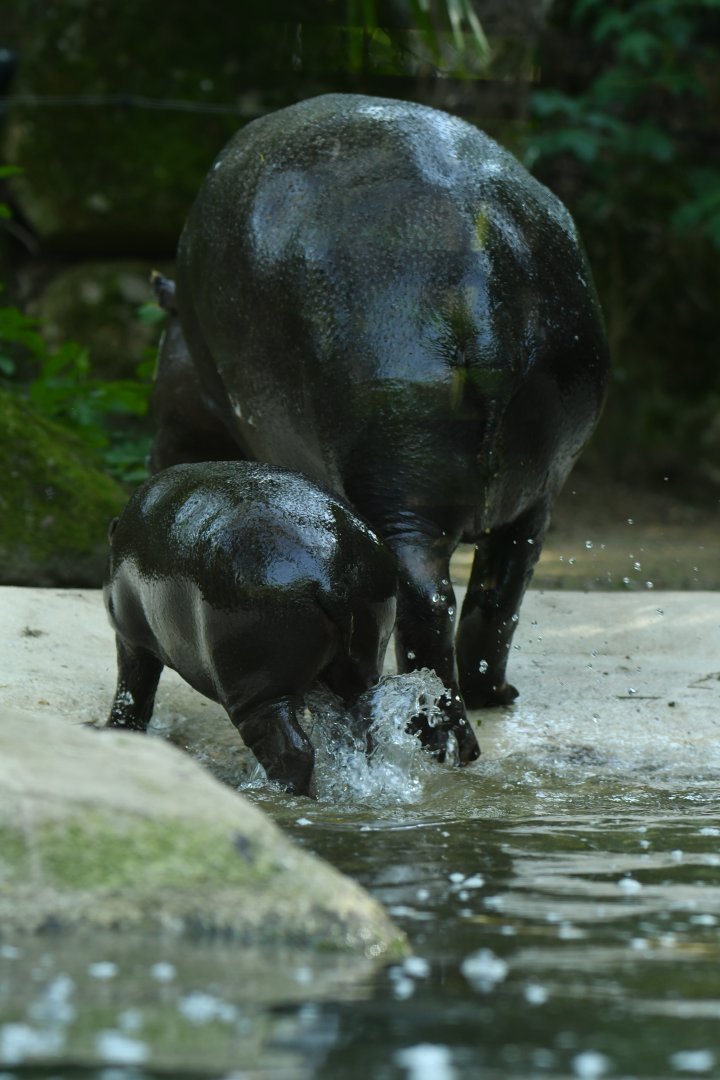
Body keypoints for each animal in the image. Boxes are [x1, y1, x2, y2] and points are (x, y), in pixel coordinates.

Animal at [103, 461, 397, 795]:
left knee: (293, 748)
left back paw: (270, 792)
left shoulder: (132, 639)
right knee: (363, 732)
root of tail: (330, 573)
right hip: (361, 668)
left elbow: (132, 690)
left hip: (256, 686)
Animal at [150, 93, 609, 764]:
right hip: (538, 488)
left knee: (429, 598)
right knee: (500, 588)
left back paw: (438, 737)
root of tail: (485, 282)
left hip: (402, 486)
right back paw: (493, 698)